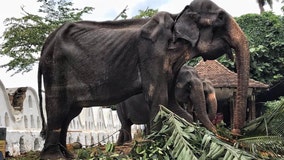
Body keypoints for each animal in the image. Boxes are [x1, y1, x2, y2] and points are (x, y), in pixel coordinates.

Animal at [37, 0, 248, 158]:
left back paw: (67, 155)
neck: (177, 15)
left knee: (69, 113)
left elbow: (171, 103)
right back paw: (54, 157)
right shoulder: (151, 53)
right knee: (57, 108)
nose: (234, 136)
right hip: (55, 68)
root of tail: (47, 43)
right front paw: (155, 147)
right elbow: (159, 98)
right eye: (220, 18)